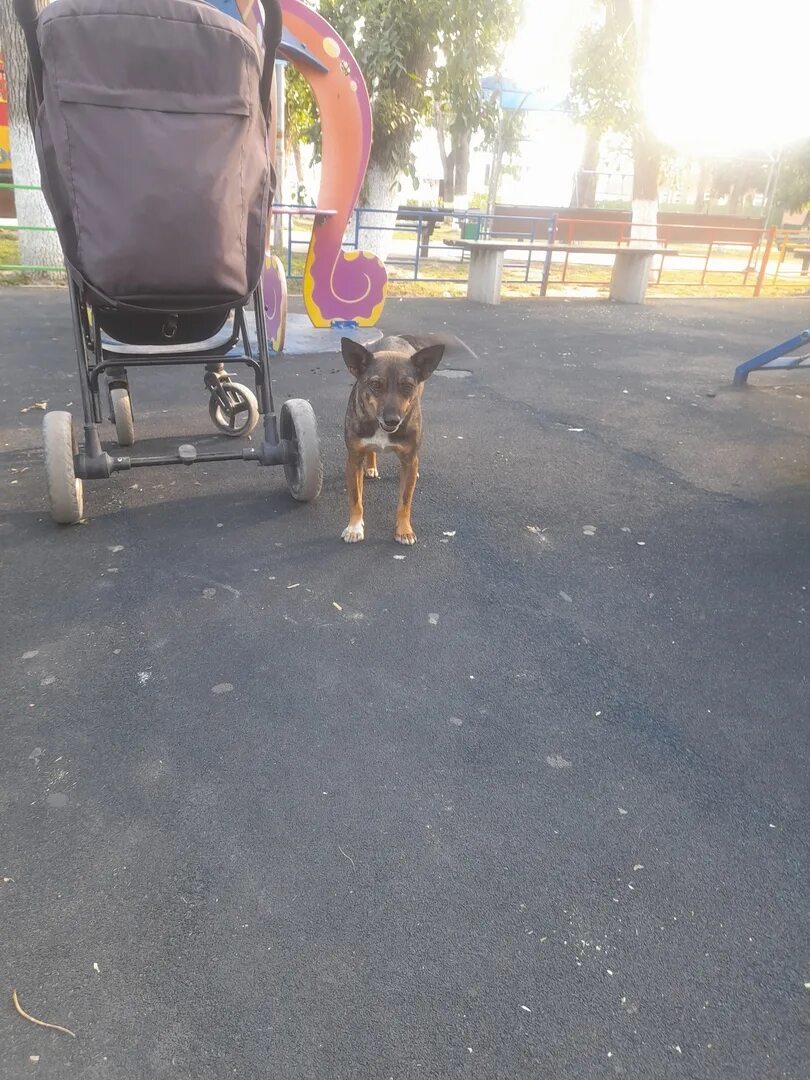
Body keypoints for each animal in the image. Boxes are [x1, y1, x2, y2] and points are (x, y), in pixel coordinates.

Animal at [339, 332, 447, 544]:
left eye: (407, 386)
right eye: (375, 385)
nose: (392, 419)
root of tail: (395, 337)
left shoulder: (409, 459)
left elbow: (405, 501)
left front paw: (404, 530)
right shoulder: (354, 460)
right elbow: (356, 497)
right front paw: (354, 527)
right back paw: (370, 467)